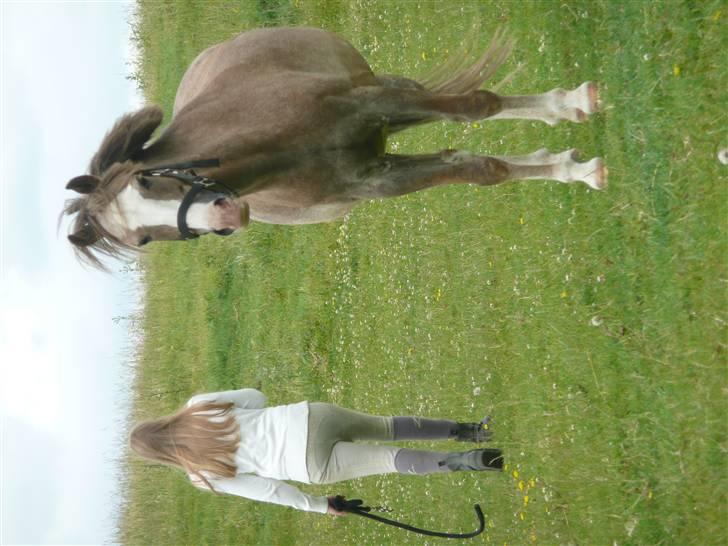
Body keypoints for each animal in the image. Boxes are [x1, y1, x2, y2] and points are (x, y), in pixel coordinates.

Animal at [61, 27, 606, 270]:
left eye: (146, 179)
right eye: (141, 242)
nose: (223, 213)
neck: (284, 151)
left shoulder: (373, 103)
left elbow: (479, 107)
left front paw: (577, 146)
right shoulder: (376, 178)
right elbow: (478, 168)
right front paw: (566, 166)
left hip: (387, 91)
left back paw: (571, 106)